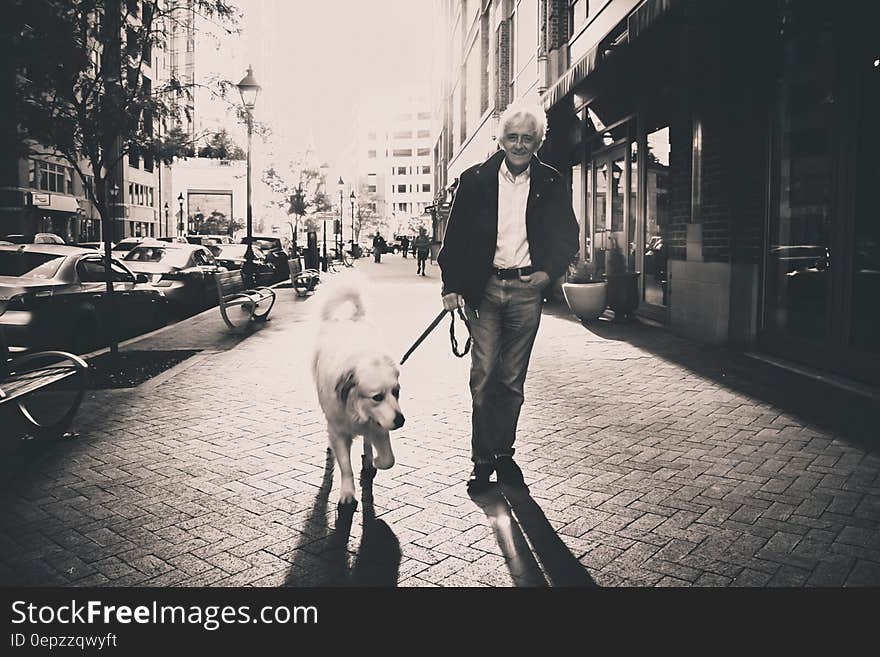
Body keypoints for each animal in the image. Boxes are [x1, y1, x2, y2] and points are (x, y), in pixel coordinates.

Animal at [312, 280, 404, 504]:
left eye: (396, 392)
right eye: (377, 397)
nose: (401, 420)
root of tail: (352, 319)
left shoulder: (379, 425)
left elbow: (389, 459)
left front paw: (377, 460)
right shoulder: (339, 431)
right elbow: (345, 466)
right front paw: (347, 492)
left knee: (367, 441)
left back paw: (369, 457)